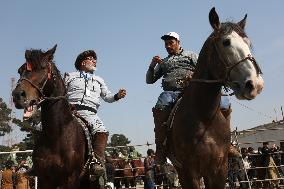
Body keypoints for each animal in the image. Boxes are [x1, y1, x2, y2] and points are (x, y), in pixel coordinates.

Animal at [12, 45, 101, 189]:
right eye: (20, 71)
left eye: (42, 68)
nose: (17, 95)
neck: (56, 135)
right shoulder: (44, 180)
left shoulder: (71, 180)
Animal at [166, 7, 264, 189]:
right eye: (226, 42)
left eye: (248, 43)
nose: (255, 84)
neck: (203, 116)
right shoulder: (190, 172)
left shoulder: (219, 169)